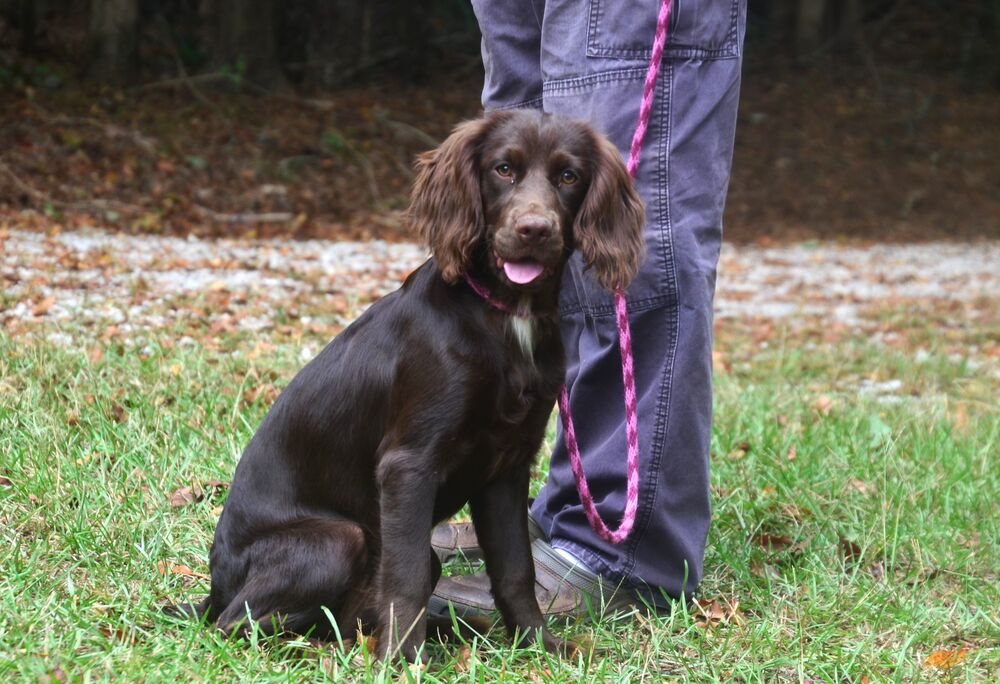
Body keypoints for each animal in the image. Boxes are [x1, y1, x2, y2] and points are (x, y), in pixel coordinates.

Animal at [172, 111, 644, 664]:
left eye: (568, 176)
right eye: (503, 169)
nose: (534, 230)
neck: (508, 316)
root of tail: (213, 588)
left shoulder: (507, 466)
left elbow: (515, 570)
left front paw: (537, 646)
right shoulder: (408, 465)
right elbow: (408, 575)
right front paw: (399, 662)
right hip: (340, 538)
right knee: (238, 622)